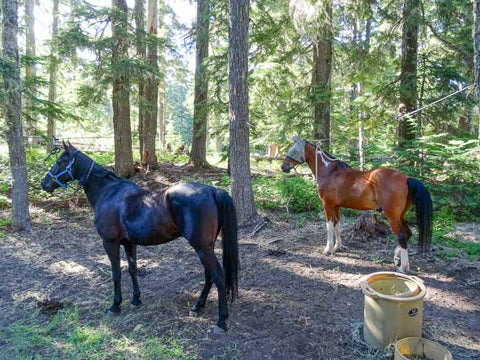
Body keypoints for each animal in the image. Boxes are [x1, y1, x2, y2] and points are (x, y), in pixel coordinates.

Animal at [41, 142, 238, 334]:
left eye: (60, 161)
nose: (44, 183)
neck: (109, 193)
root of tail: (213, 190)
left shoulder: (110, 243)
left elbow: (116, 273)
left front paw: (115, 305)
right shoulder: (129, 243)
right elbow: (132, 269)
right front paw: (136, 299)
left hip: (202, 248)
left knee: (218, 275)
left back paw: (221, 321)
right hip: (206, 247)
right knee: (209, 275)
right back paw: (198, 306)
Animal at [280, 136, 434, 272]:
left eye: (293, 150)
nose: (283, 167)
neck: (329, 171)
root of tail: (406, 178)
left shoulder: (327, 205)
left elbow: (329, 226)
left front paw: (328, 249)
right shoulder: (336, 207)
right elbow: (337, 225)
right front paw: (338, 247)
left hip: (392, 216)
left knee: (402, 236)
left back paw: (403, 268)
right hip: (400, 215)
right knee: (408, 233)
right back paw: (397, 258)